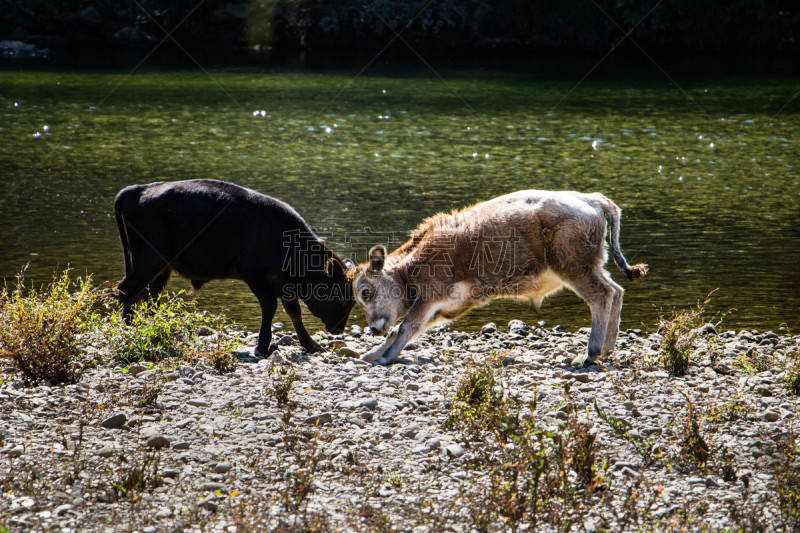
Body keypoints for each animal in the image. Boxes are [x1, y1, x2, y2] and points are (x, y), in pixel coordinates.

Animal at [346, 189, 648, 368]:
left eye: (365, 292)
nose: (373, 329)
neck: (411, 264)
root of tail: (593, 199)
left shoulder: (429, 298)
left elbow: (404, 327)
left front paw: (383, 357)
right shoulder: (445, 307)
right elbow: (405, 329)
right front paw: (371, 354)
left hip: (576, 270)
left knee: (602, 296)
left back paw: (590, 353)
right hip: (593, 268)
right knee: (617, 290)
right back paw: (607, 349)